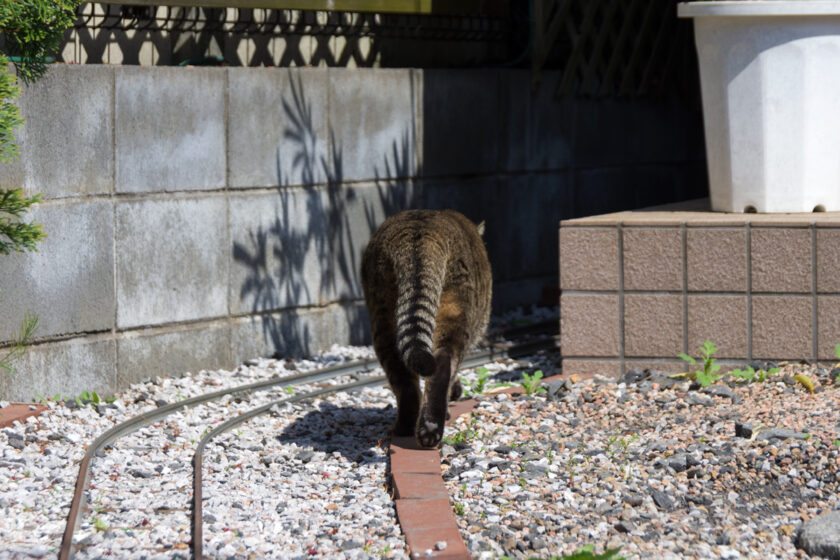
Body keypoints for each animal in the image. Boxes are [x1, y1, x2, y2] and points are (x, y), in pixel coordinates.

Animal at [360, 208, 492, 448]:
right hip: (457, 308)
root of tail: (420, 231)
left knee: (403, 377)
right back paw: (431, 428)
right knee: (443, 361)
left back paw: (406, 426)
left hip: (382, 315)